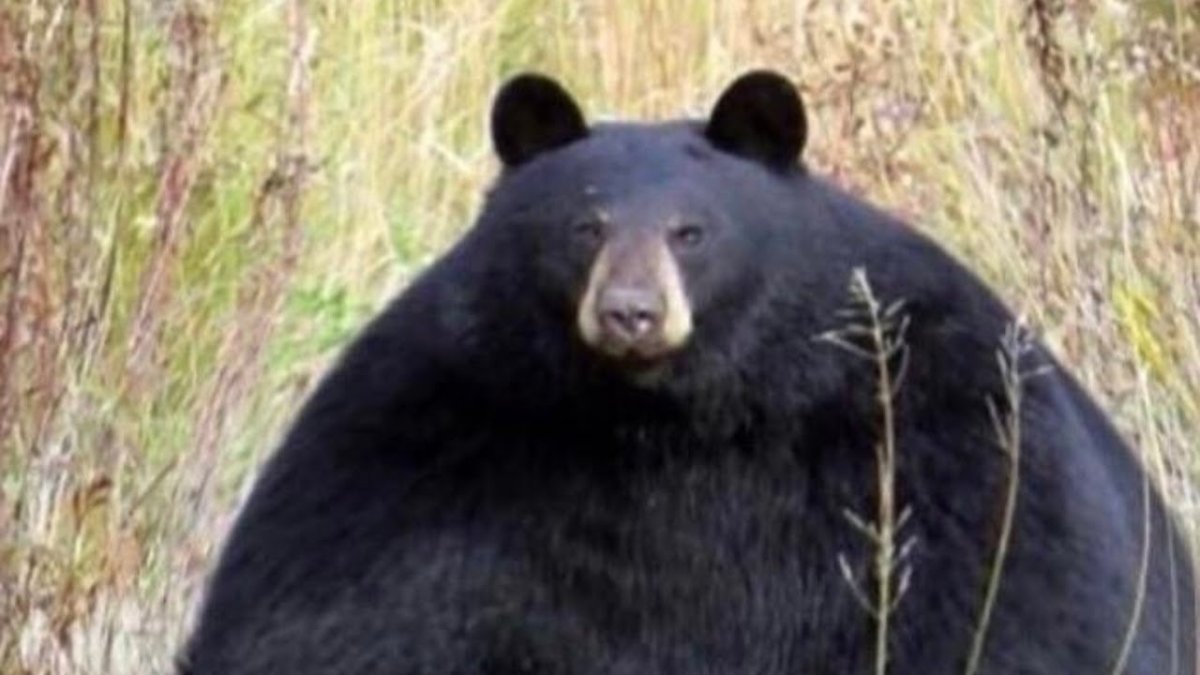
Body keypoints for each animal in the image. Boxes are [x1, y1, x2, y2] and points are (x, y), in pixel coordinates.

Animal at [180, 70, 1196, 674]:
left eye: (690, 231)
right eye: (584, 225)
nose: (630, 313)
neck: (672, 419)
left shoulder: (939, 434)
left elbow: (1025, 600)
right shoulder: (427, 444)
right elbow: (350, 613)